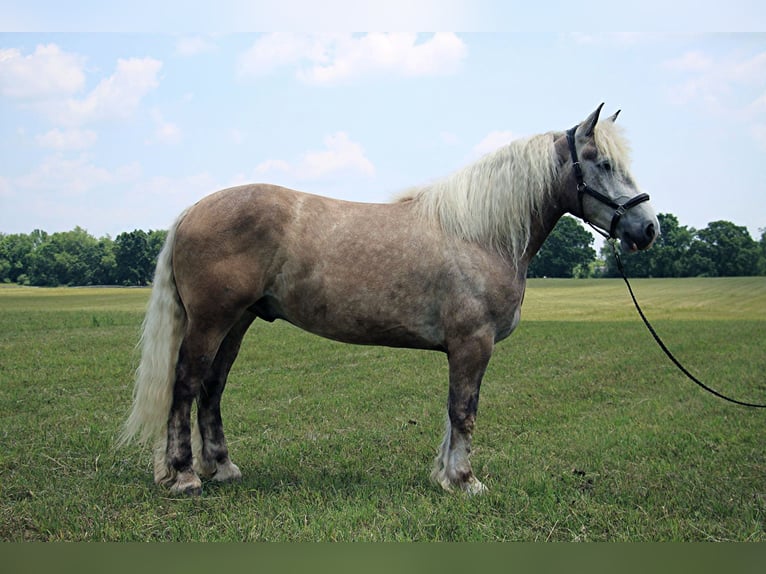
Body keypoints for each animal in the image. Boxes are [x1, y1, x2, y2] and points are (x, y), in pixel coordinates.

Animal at [118, 102, 660, 496]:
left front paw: (446, 476)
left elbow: (453, 411)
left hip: (237, 322)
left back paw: (223, 468)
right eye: (604, 164)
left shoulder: (464, 348)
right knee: (186, 385)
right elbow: (464, 411)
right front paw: (465, 481)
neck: (478, 234)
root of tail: (192, 209)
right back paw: (185, 476)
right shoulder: (473, 343)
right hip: (212, 321)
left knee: (212, 388)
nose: (648, 228)